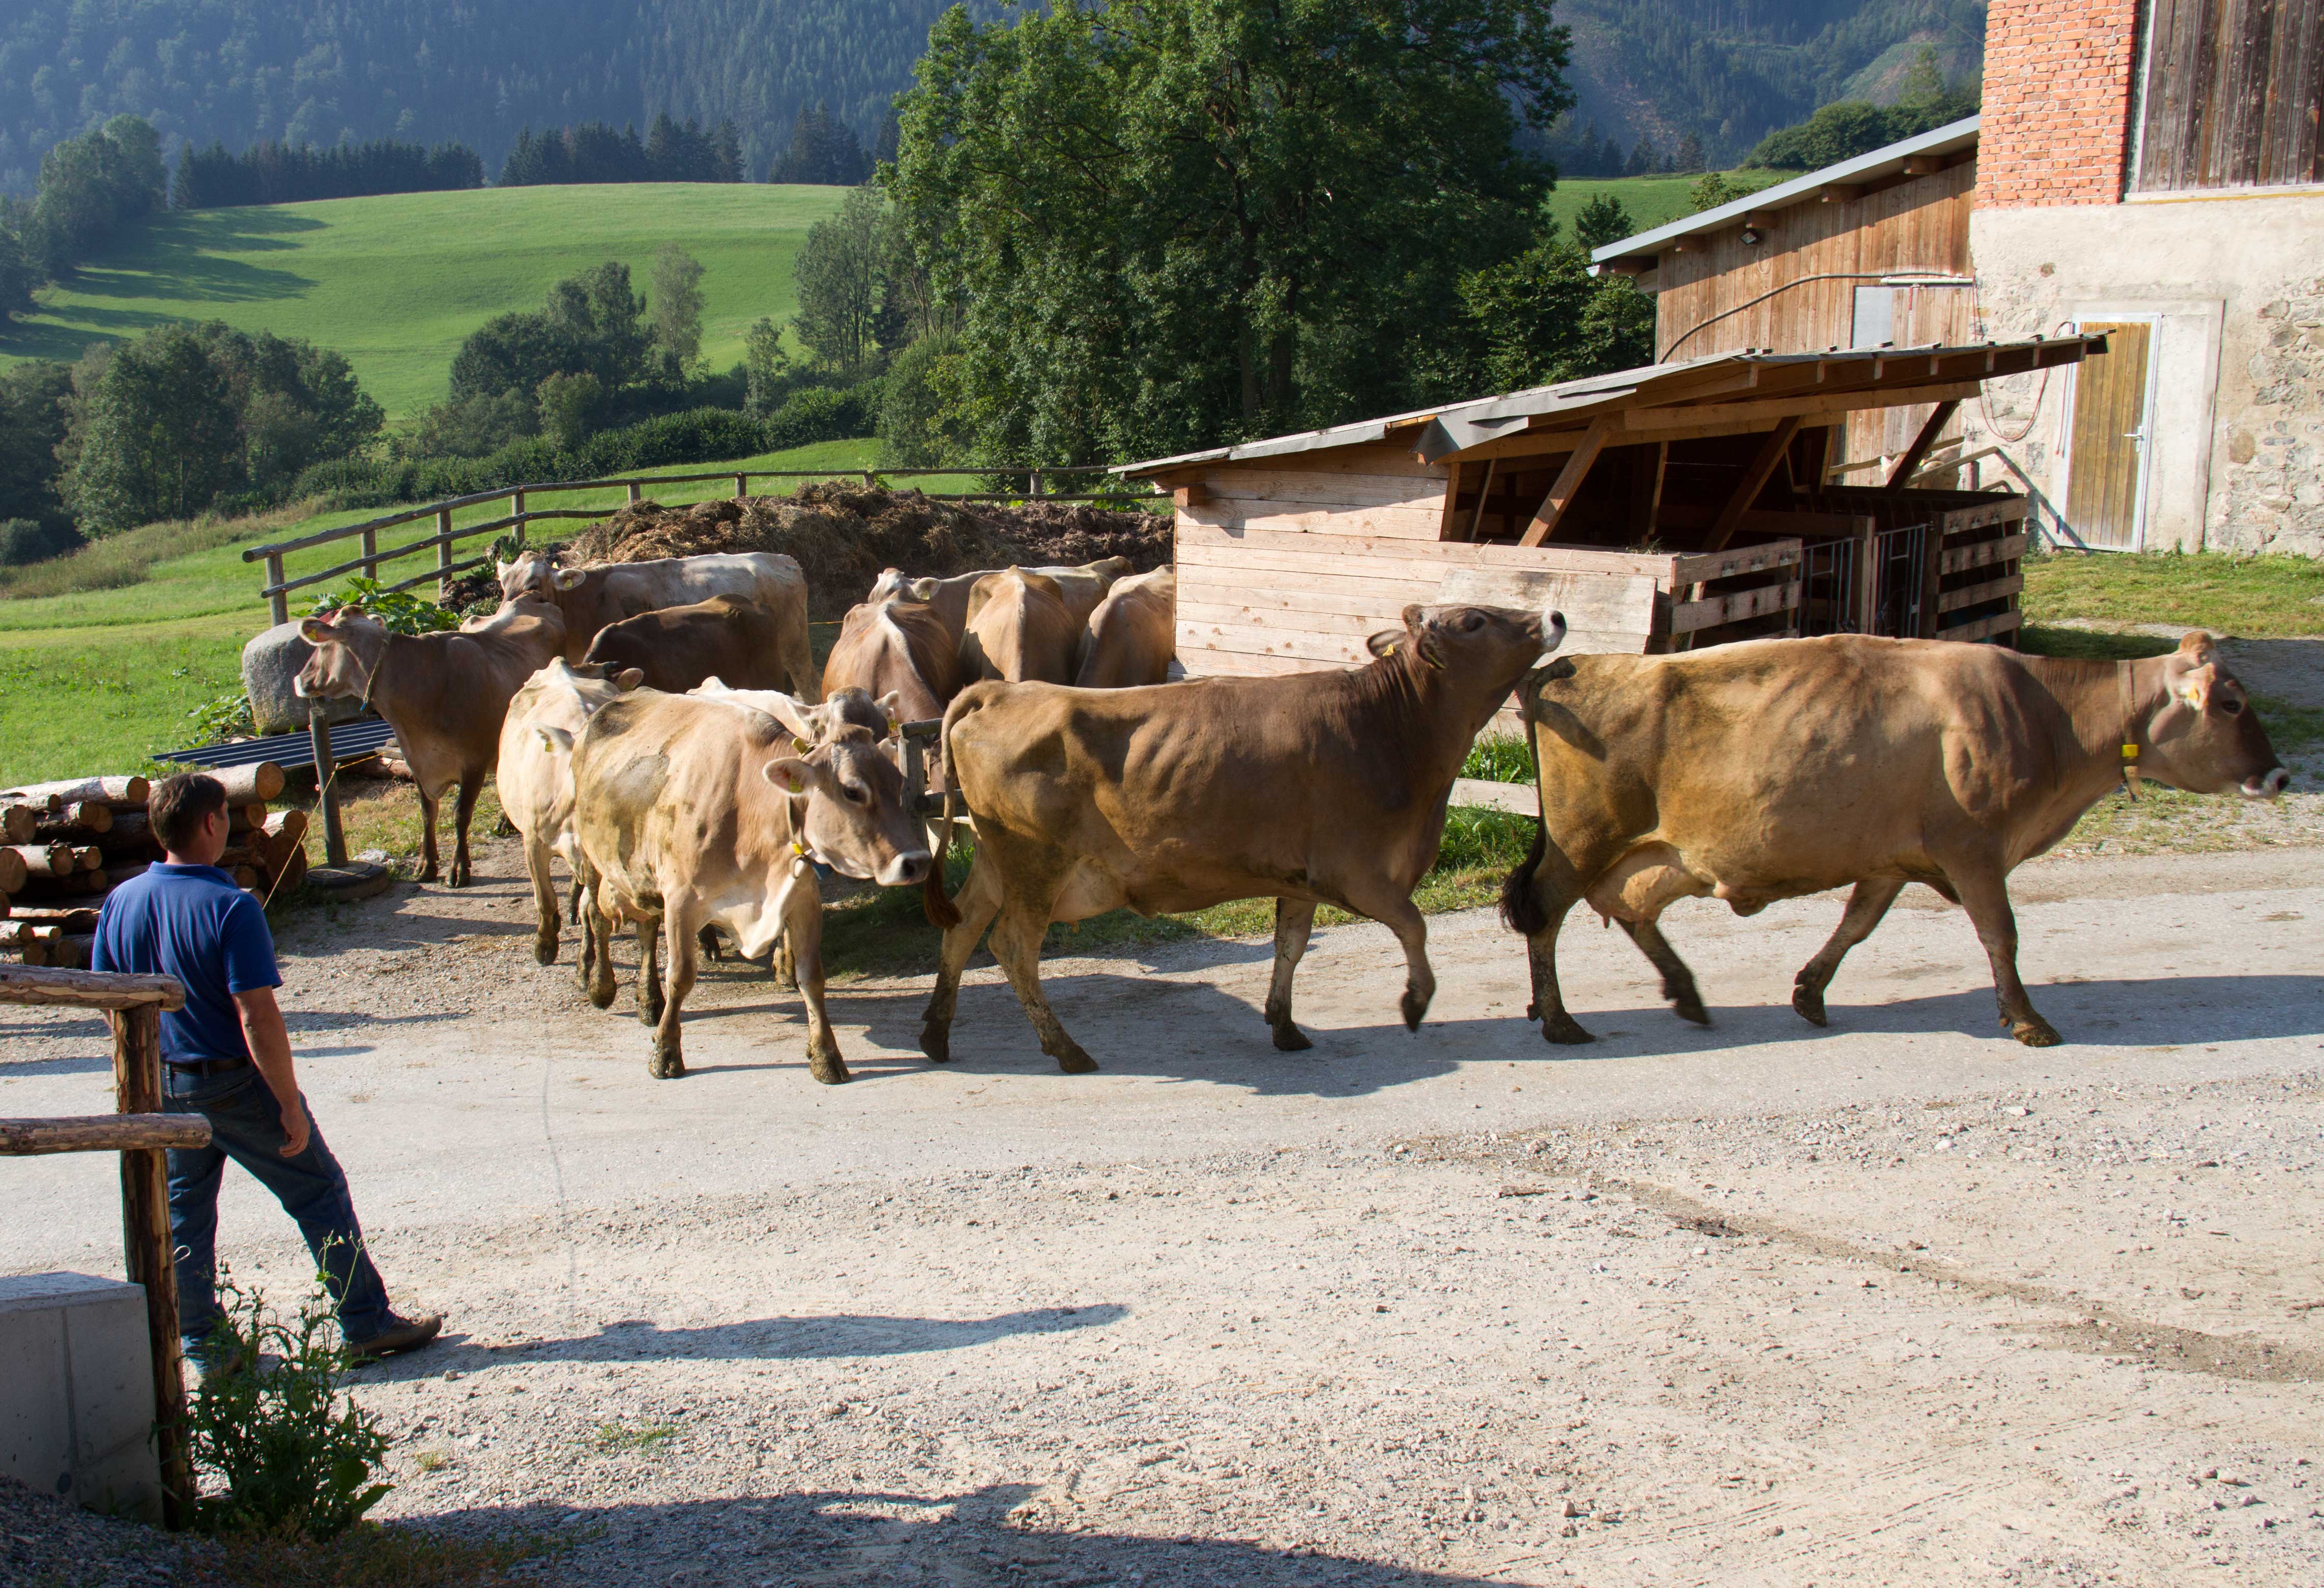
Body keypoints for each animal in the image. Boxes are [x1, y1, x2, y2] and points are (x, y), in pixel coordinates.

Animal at [295, 598, 566, 886]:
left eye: (320, 646)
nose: (299, 679)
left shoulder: (474, 762)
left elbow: (461, 814)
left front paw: (459, 868)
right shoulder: (415, 761)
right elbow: (427, 813)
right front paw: (426, 864)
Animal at [568, 691, 934, 1083]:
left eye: (898, 782)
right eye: (852, 791)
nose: (917, 861)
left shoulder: (803, 900)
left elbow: (812, 978)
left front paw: (825, 1055)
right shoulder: (681, 899)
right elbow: (681, 976)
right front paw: (665, 1052)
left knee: (647, 929)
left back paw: (649, 999)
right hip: (592, 857)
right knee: (596, 916)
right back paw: (600, 985)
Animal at [918, 604, 1564, 1072]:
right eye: (1473, 621)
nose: (1554, 616)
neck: (1389, 724)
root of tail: (1005, 690)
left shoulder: (1301, 879)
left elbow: (1290, 946)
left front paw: (1284, 1024)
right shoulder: (1358, 872)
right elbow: (1413, 925)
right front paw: (1414, 1001)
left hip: (997, 862)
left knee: (961, 928)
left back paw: (936, 1033)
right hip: (1036, 866)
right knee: (1012, 947)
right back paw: (1066, 1049)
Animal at [1499, 631, 2289, 1050]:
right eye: (2230, 703)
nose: (2278, 774)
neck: (2047, 714)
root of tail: (1574, 665)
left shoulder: (1892, 858)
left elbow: (1856, 926)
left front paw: (1810, 991)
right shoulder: (1975, 849)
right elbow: (2000, 933)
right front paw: (2028, 1018)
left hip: (1661, 852)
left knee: (1631, 908)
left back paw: (1684, 993)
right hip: (1584, 841)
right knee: (1545, 912)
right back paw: (1560, 1017)